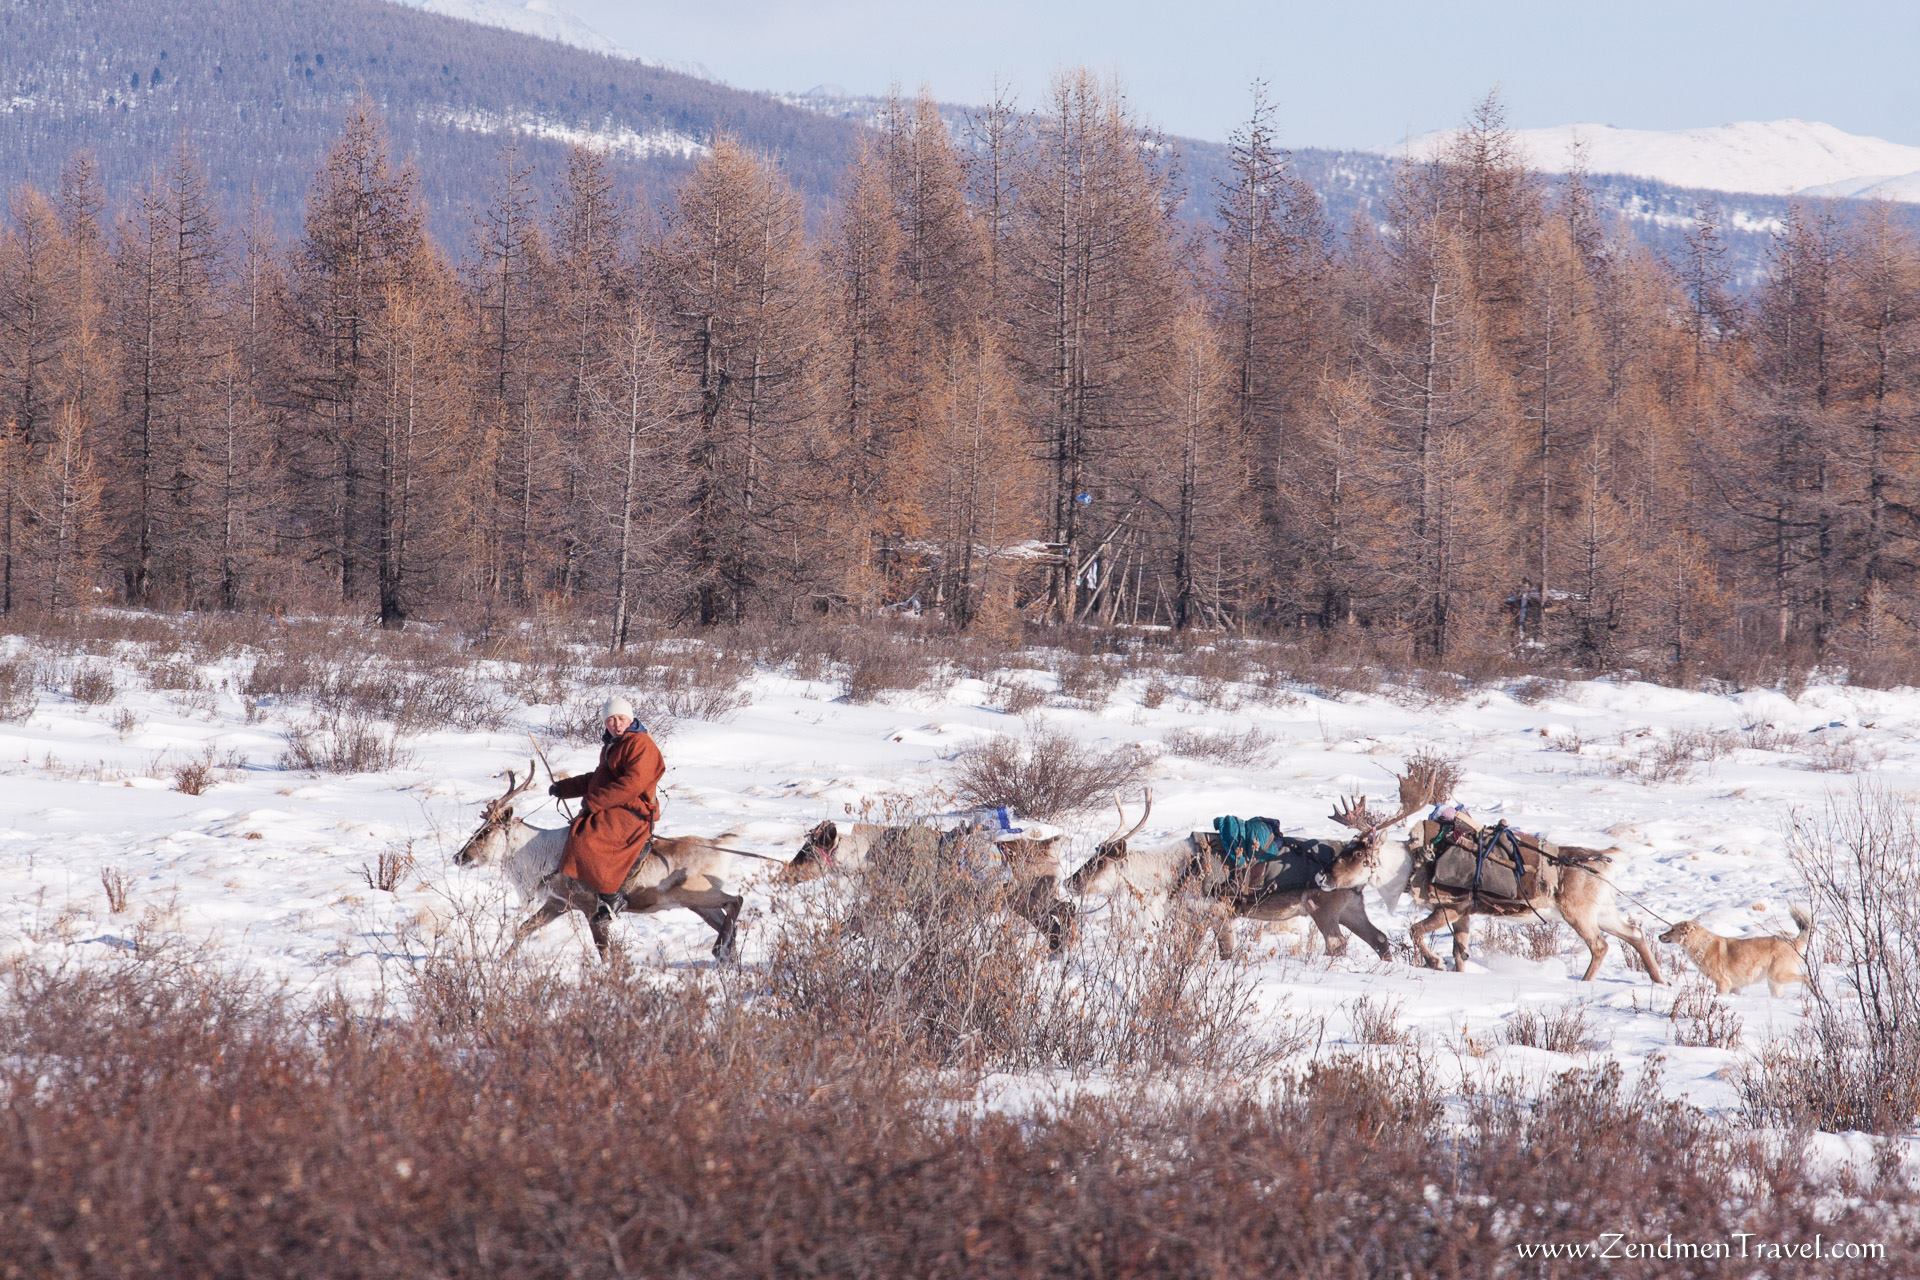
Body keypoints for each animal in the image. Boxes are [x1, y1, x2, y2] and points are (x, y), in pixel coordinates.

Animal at [452, 762, 751, 963]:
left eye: (485, 832)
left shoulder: (590, 908)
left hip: (697, 894)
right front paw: (500, 963)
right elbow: (524, 928)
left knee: (735, 900)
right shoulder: (558, 903)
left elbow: (604, 952)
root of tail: (719, 844)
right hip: (697, 904)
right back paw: (726, 958)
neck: (541, 856)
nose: (459, 857)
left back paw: (719, 950)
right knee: (728, 919)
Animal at [1063, 790, 1402, 962]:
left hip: (1324, 909)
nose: (1070, 882)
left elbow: (1226, 952)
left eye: (1099, 862)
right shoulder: (1195, 918)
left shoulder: (1219, 912)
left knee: (1338, 945)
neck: (1172, 872)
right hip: (1351, 908)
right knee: (1380, 939)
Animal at [1317, 787, 1666, 985]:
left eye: (1358, 853)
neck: (1412, 865)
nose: (1323, 878)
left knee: (1601, 945)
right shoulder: (1465, 913)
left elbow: (1415, 930)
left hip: (1576, 910)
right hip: (1603, 908)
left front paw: (1433, 963)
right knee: (1634, 933)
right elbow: (1460, 952)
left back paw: (1584, 982)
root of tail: (1608, 859)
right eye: (1347, 846)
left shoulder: (1451, 904)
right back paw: (1660, 981)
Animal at [1659, 907, 1811, 996]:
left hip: (1777, 975)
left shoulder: (1723, 983)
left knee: (1806, 977)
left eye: (1672, 929)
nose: (1659, 936)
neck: (1701, 944)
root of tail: (1793, 941)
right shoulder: (1735, 987)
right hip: (1774, 982)